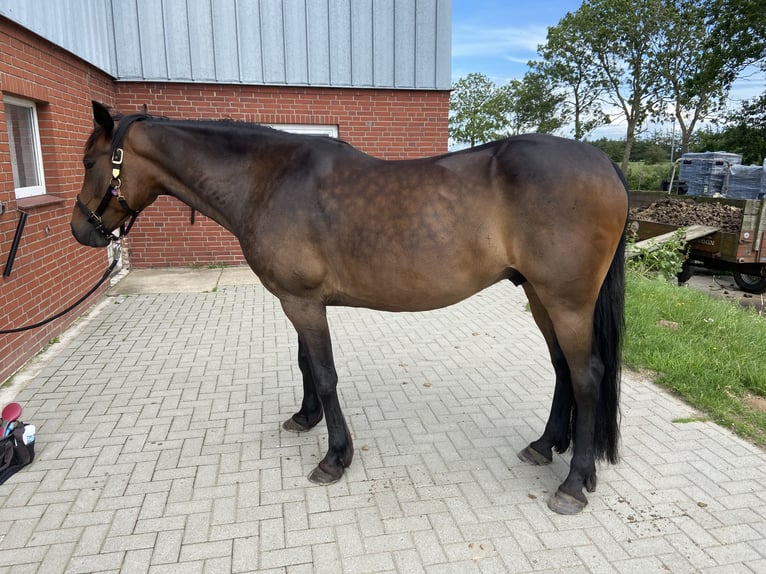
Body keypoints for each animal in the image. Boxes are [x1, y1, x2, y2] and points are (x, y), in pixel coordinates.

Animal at [72, 101, 628, 516]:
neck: (268, 179)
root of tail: (604, 164)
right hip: (538, 294)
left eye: (88, 162)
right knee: (562, 367)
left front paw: (335, 457)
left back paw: (574, 483)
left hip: (567, 301)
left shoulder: (302, 302)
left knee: (586, 374)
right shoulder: (298, 300)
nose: (81, 231)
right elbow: (305, 364)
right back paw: (545, 445)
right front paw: (305, 418)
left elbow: (324, 373)